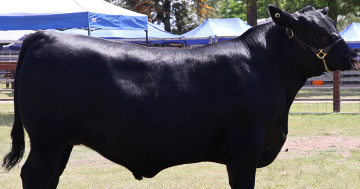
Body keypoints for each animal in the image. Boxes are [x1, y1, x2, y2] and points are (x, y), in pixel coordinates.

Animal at [1, 4, 358, 189]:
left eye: (331, 24)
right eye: (318, 33)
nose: (350, 56)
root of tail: (44, 36)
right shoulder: (245, 148)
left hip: (61, 142)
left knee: (49, 178)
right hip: (48, 140)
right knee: (34, 175)